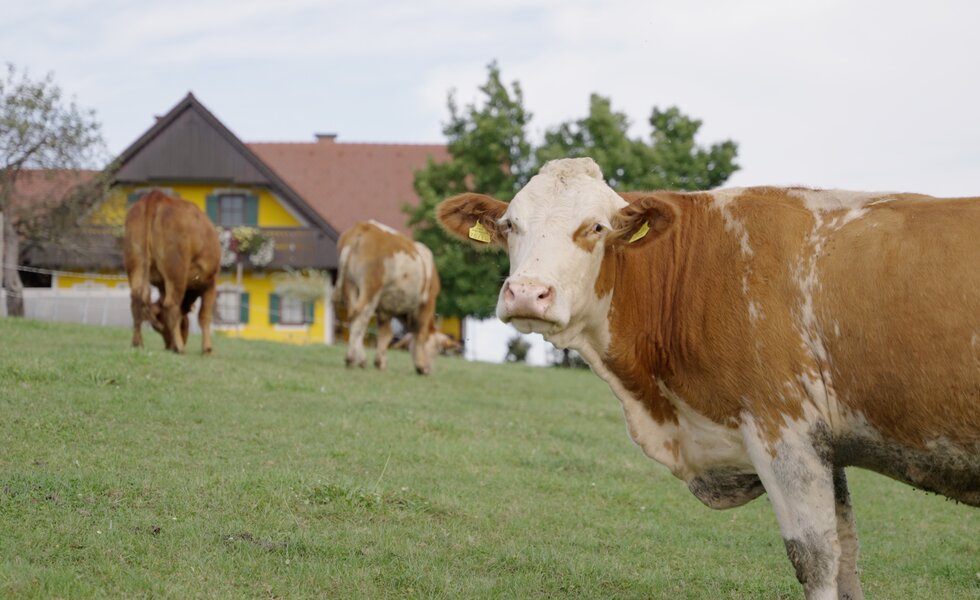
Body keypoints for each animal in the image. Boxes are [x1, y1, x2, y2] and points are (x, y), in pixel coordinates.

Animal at [123, 190, 221, 354]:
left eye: (158, 328)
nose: (168, 346)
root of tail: (158, 196)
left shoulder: (163, 285)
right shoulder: (210, 282)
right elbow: (204, 316)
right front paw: (207, 349)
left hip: (135, 262)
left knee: (137, 300)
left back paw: (137, 343)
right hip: (177, 272)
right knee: (171, 305)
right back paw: (180, 348)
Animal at [334, 220, 442, 376]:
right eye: (436, 350)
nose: (429, 370)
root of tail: (364, 227)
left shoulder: (385, 309)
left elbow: (386, 333)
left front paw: (380, 362)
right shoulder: (426, 303)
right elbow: (420, 334)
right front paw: (420, 365)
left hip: (350, 287)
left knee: (353, 318)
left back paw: (360, 359)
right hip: (371, 289)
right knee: (360, 319)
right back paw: (352, 359)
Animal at [438, 158, 980, 600]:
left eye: (594, 226)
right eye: (510, 224)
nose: (528, 292)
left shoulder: (784, 431)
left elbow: (817, 559)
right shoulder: (830, 444)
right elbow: (846, 556)